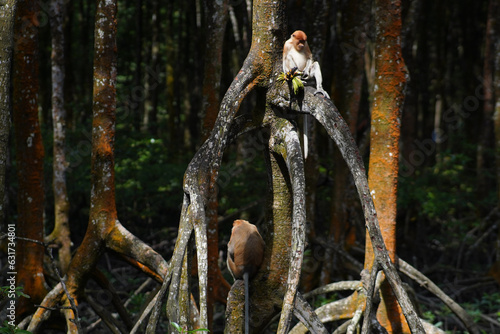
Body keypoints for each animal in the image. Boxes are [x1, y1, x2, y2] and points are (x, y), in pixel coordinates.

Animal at [284, 30, 330, 159]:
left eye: (303, 41)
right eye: (299, 41)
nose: (301, 45)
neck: (295, 46)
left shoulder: (307, 45)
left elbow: (310, 57)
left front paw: (305, 71)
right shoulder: (286, 45)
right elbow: (285, 58)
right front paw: (287, 76)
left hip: (311, 76)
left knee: (315, 64)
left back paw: (317, 86)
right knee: (289, 58)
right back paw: (297, 78)